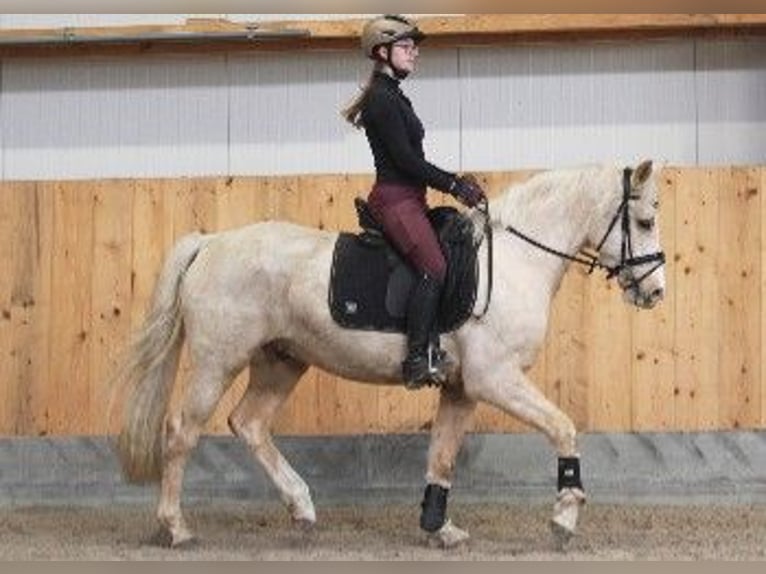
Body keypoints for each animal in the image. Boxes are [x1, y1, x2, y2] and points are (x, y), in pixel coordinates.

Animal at [112, 160, 664, 552]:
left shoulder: (462, 388)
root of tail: (211, 243)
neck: (515, 260)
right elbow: (563, 427)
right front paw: (565, 516)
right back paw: (177, 528)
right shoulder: (495, 379)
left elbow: (442, 455)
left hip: (281, 360)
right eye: (644, 220)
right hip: (218, 360)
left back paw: (302, 509)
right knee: (182, 432)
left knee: (249, 424)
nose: (655, 292)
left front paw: (439, 528)